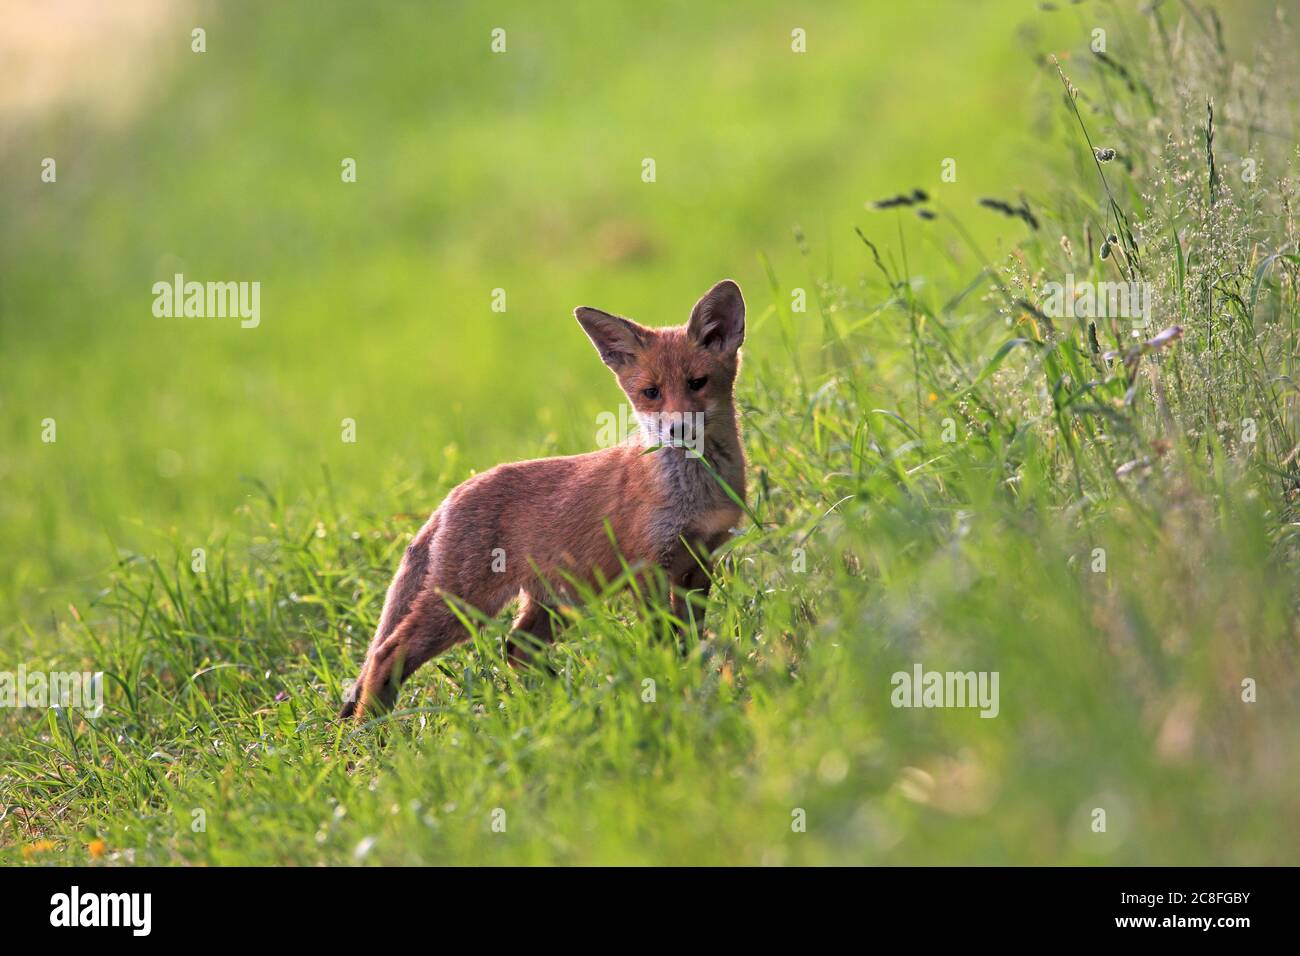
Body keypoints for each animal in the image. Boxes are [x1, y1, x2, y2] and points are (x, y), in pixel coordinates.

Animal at [340, 280, 748, 723]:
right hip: (465, 606)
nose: (678, 430)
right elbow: (661, 640)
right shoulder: (648, 567)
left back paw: (561, 698)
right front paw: (667, 684)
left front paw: (691, 680)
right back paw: (372, 731)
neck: (694, 494)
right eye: (651, 393)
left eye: (697, 383)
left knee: (515, 648)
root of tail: (452, 494)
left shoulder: (699, 562)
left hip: (557, 602)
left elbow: (690, 637)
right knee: (387, 653)